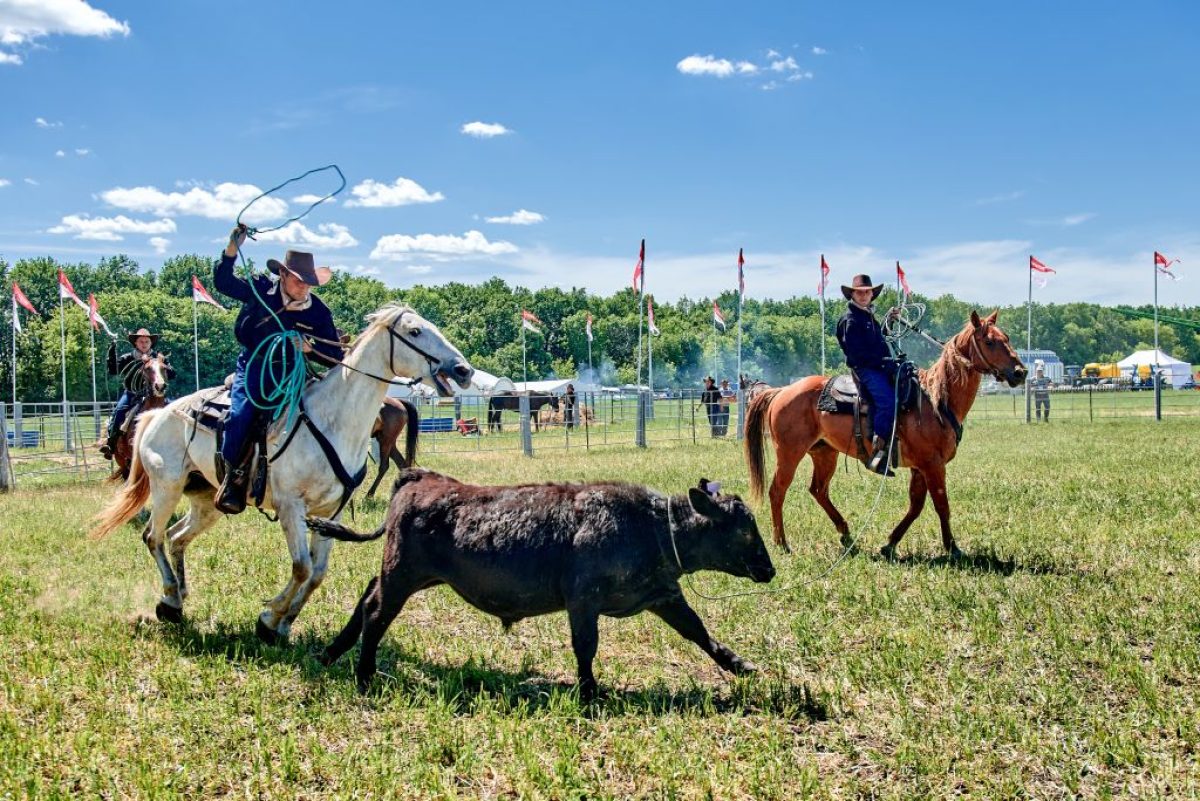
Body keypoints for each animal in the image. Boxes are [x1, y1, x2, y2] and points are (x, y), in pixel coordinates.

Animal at [90, 303, 472, 642]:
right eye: (415, 331)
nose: (463, 370)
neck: (332, 420)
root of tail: (156, 415)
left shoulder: (329, 514)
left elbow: (317, 574)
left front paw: (283, 623)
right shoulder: (291, 506)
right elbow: (302, 567)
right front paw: (270, 618)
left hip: (207, 503)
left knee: (176, 537)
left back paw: (178, 599)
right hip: (166, 488)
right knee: (153, 536)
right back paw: (169, 598)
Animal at [744, 309, 1027, 561]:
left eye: (1007, 338)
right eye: (989, 341)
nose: (1020, 372)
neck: (936, 400)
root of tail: (781, 391)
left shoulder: (919, 467)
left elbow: (916, 506)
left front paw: (890, 544)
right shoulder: (933, 465)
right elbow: (941, 505)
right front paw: (953, 548)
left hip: (824, 453)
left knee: (818, 490)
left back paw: (846, 534)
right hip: (789, 453)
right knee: (777, 491)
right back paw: (782, 543)